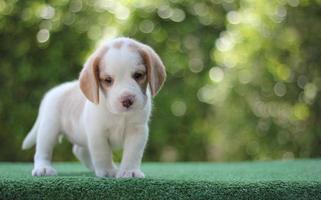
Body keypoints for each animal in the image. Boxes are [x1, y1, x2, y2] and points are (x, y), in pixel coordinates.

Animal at [22, 37, 166, 178]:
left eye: (138, 75)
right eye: (108, 80)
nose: (127, 100)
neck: (119, 115)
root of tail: (51, 93)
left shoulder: (137, 131)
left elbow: (132, 153)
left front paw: (129, 171)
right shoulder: (97, 133)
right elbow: (103, 153)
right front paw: (108, 171)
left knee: (79, 150)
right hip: (48, 130)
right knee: (42, 152)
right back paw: (43, 168)